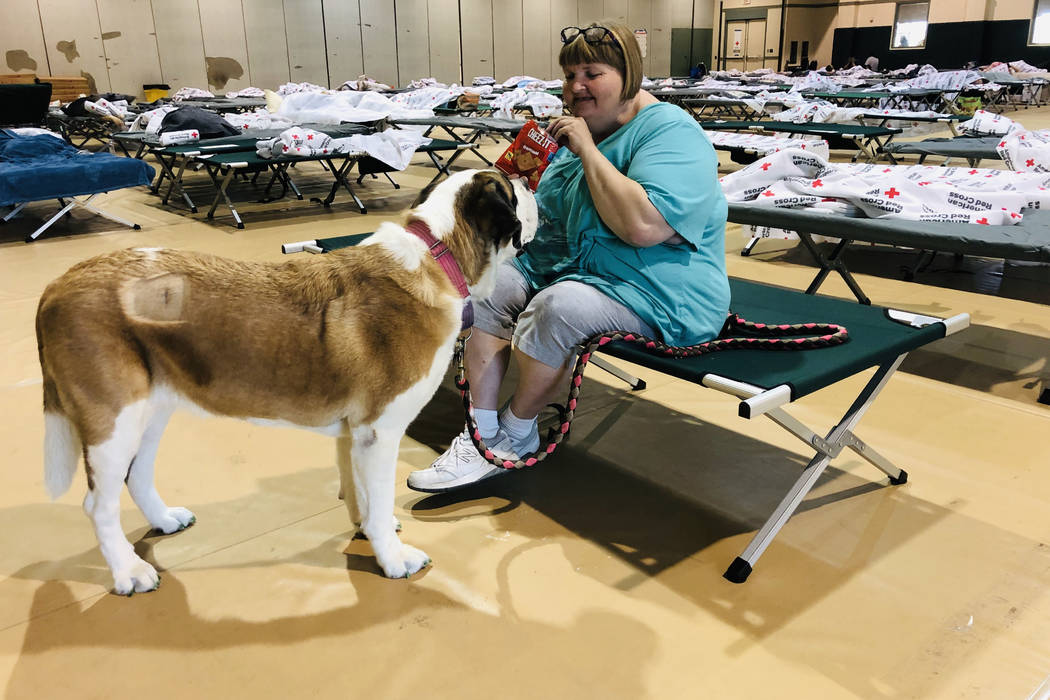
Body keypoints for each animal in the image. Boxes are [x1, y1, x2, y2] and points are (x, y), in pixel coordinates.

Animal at [37, 170, 537, 596]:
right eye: (513, 190)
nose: (534, 189)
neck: (439, 254)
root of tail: (58, 284)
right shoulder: (379, 433)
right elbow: (376, 496)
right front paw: (392, 559)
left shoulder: (354, 435)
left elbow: (359, 491)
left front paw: (367, 528)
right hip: (114, 421)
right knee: (98, 505)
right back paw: (129, 571)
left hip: (151, 409)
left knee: (136, 474)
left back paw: (163, 520)